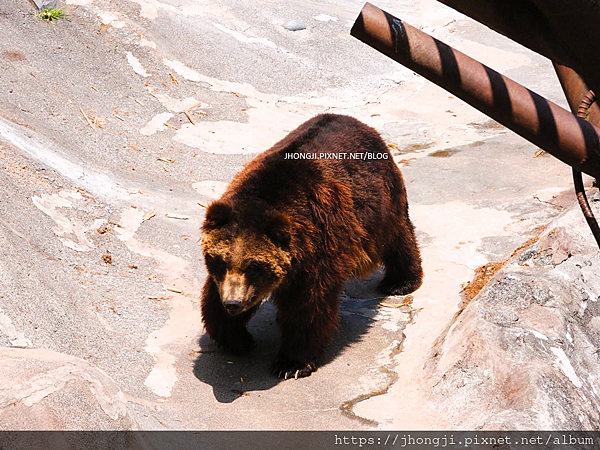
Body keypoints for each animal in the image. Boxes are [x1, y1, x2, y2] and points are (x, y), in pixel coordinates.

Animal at [202, 113, 422, 380]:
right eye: (220, 261)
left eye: (255, 266)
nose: (233, 303)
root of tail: (358, 122)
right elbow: (213, 295)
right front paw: (237, 339)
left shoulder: (317, 245)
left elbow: (307, 307)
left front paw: (291, 363)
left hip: (380, 202)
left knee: (397, 238)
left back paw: (400, 282)